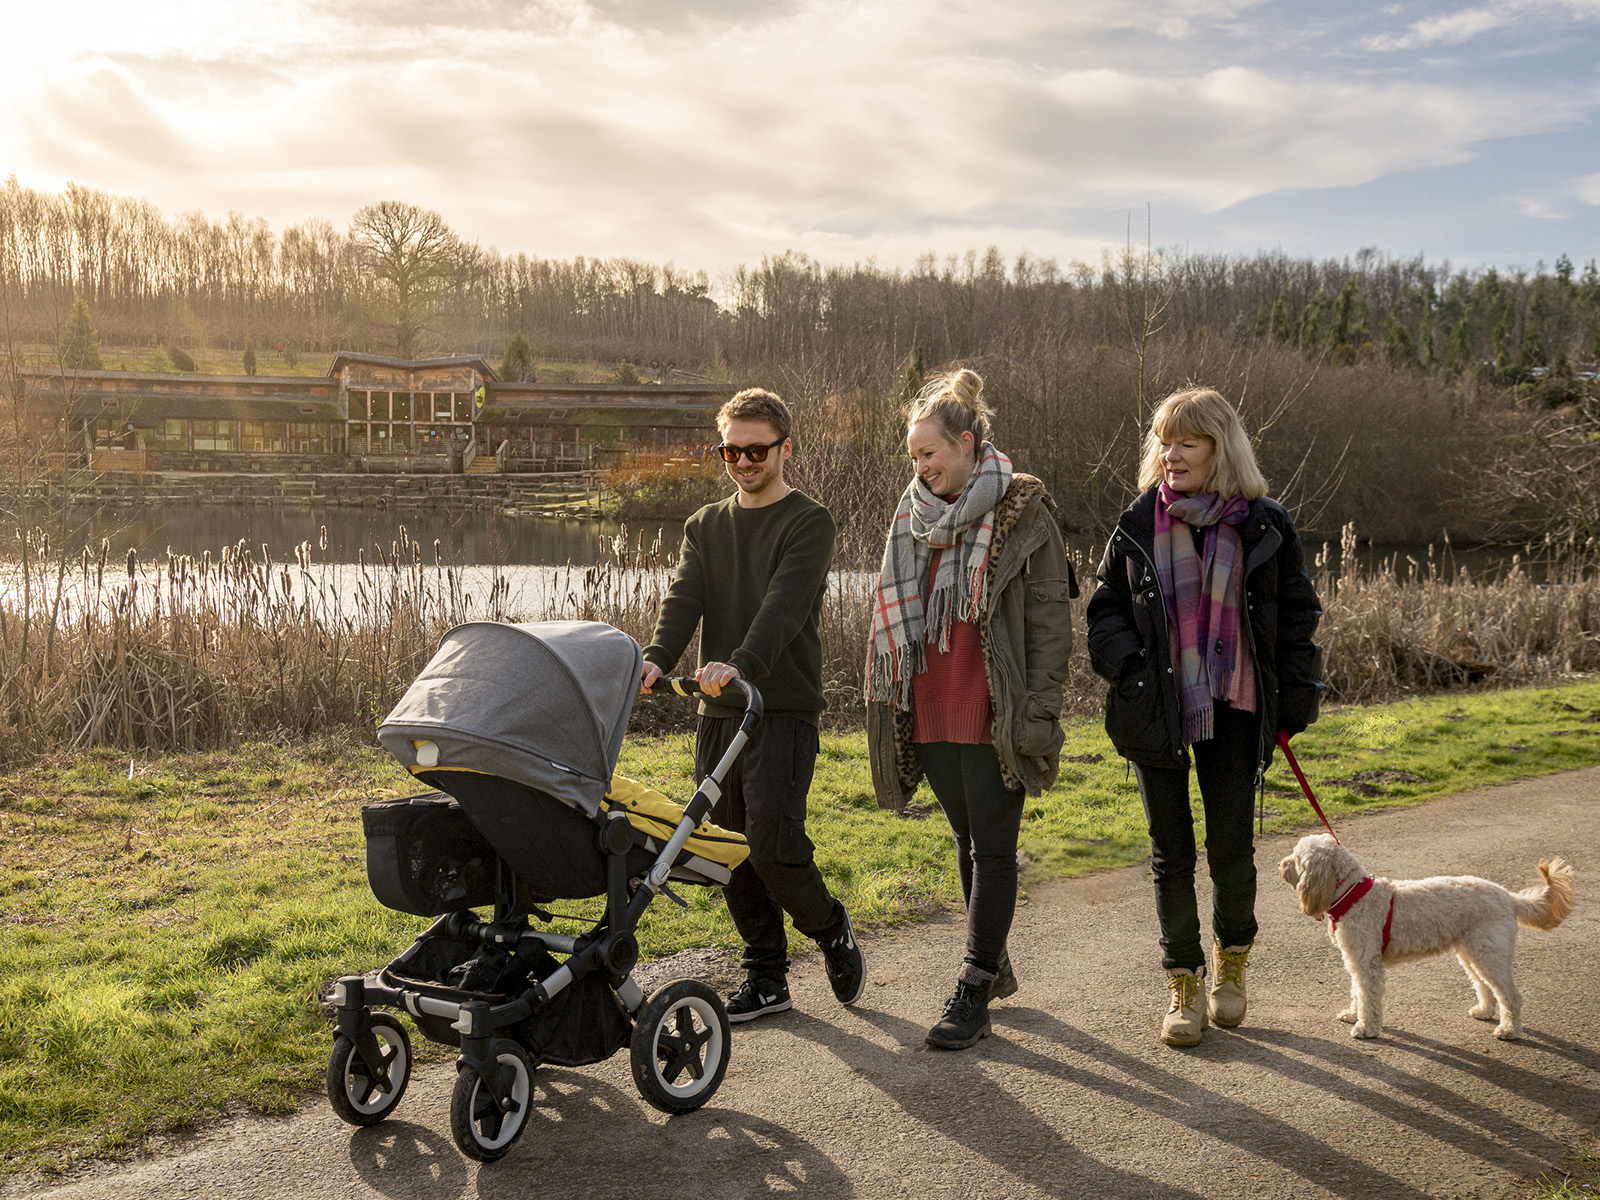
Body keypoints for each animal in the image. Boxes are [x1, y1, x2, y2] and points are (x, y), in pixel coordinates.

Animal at [1280, 838, 1568, 1043]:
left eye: (1297, 858)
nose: (1281, 865)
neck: (1354, 894)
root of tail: (1508, 897)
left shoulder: (1366, 963)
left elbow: (1367, 996)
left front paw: (1366, 1027)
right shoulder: (1356, 960)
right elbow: (1356, 992)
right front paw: (1353, 1015)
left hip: (1491, 954)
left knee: (1510, 996)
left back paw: (1509, 1030)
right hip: (1473, 953)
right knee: (1484, 985)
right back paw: (1484, 1011)